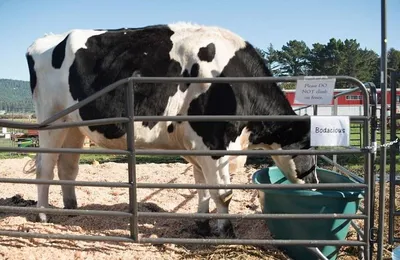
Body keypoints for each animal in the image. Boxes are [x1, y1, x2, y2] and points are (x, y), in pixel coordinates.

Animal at [25, 22, 318, 238]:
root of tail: (45, 40)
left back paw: (71, 209)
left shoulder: (199, 146)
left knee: (67, 166)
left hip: (74, 126)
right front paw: (227, 232)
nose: (315, 184)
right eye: (309, 147)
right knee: (44, 167)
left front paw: (202, 226)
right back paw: (43, 214)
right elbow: (223, 193)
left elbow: (202, 187)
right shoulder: (214, 142)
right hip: (51, 120)